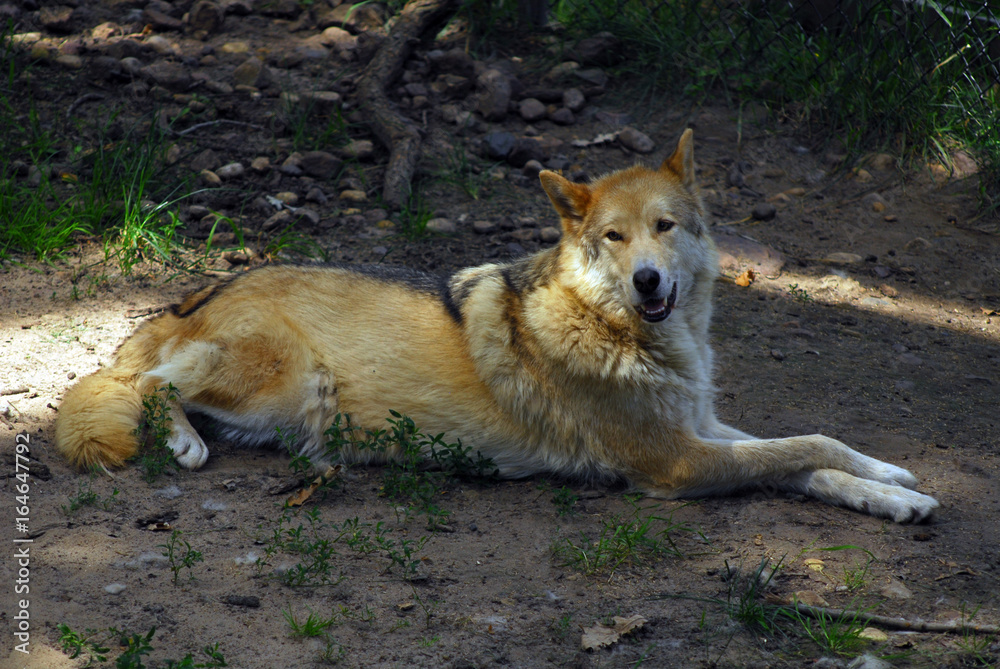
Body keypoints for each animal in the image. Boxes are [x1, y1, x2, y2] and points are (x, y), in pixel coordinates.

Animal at [56, 130, 936, 520]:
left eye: (665, 227)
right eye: (614, 237)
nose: (650, 280)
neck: (618, 328)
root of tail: (194, 294)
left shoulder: (703, 427)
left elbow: (811, 450)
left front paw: (892, 486)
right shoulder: (677, 462)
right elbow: (797, 449)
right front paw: (892, 483)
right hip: (284, 377)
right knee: (140, 380)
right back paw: (183, 442)